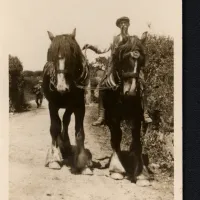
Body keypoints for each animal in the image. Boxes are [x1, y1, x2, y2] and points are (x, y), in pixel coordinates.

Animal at [42, 28, 92, 173]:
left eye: (72, 53)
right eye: (51, 54)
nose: (61, 87)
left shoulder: (79, 106)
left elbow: (79, 132)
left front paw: (83, 164)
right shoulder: (52, 105)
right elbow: (54, 127)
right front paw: (54, 159)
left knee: (65, 120)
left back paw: (66, 144)